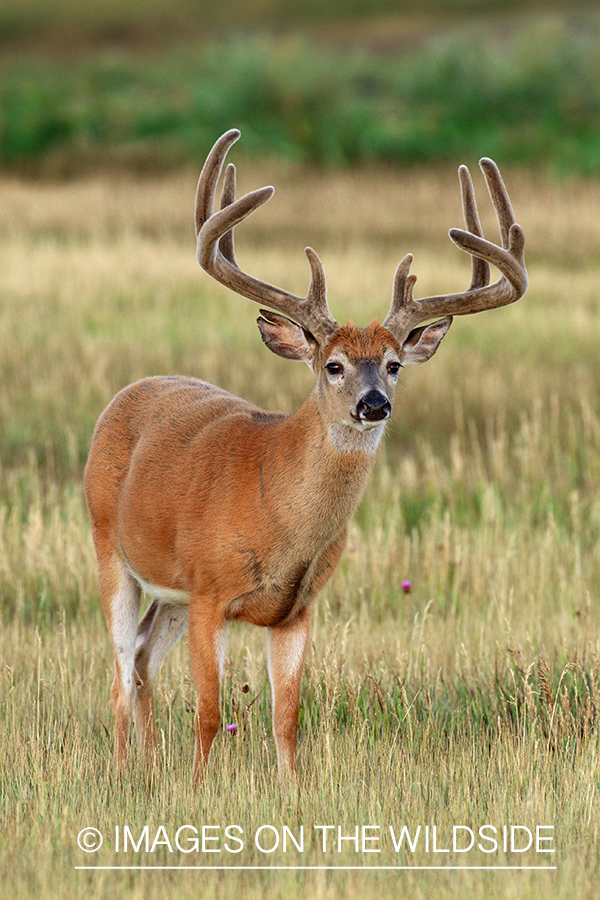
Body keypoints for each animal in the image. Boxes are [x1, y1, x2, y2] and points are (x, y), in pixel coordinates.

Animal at [83, 130, 524, 784]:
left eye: (394, 364)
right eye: (333, 365)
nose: (373, 404)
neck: (276, 512)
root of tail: (125, 394)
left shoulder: (297, 608)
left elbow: (286, 720)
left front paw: (291, 793)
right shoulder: (210, 590)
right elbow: (210, 713)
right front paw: (197, 790)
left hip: (170, 595)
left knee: (139, 657)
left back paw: (149, 764)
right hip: (111, 547)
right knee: (117, 665)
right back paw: (120, 771)